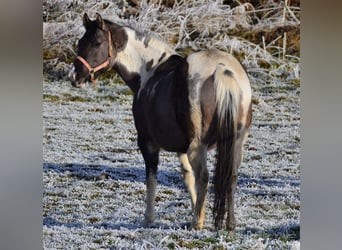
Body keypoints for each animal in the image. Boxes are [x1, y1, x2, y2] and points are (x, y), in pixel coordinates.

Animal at [69, 11, 251, 230]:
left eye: (97, 42)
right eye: (81, 41)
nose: (75, 76)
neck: (150, 71)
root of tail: (221, 69)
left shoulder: (148, 143)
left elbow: (152, 179)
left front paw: (149, 218)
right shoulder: (181, 147)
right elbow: (187, 176)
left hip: (198, 146)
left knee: (205, 176)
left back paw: (196, 223)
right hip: (235, 143)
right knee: (230, 176)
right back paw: (229, 223)